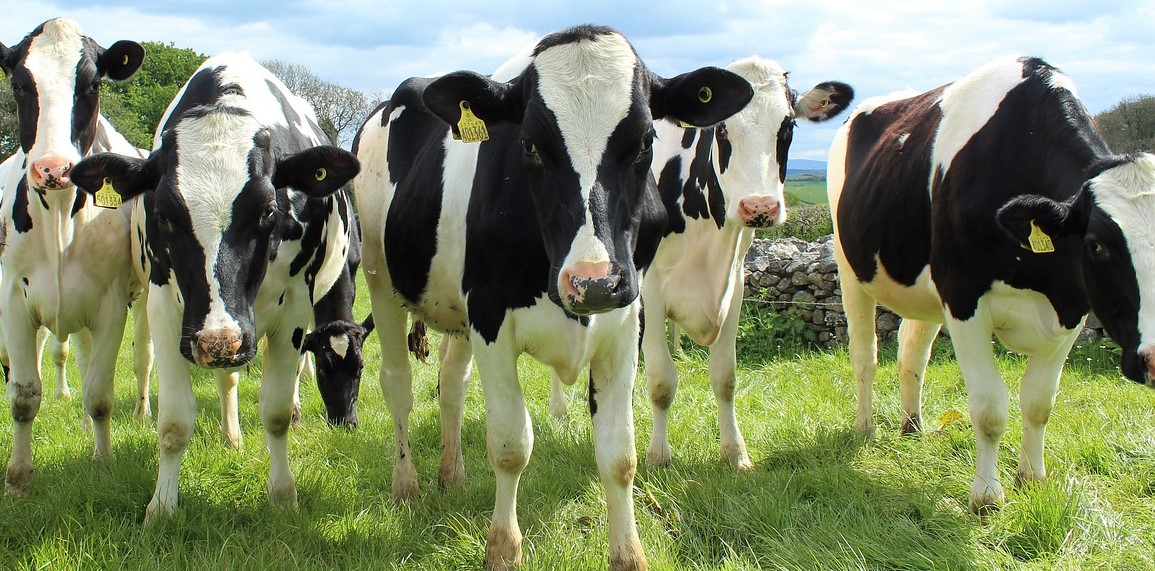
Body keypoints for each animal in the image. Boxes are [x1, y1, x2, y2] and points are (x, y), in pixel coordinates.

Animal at [0, 18, 152, 496]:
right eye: (19, 84)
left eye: (91, 84)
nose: (53, 168)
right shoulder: (12, 299)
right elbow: (24, 394)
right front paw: (18, 478)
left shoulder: (111, 304)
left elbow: (101, 392)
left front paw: (103, 460)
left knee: (141, 358)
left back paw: (138, 411)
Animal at [70, 52, 360, 522]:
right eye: (164, 214)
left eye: (267, 210)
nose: (218, 340)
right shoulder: (168, 309)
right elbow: (174, 420)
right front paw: (162, 507)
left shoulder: (295, 309)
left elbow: (276, 410)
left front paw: (283, 496)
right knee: (227, 378)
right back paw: (230, 434)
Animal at [354, 25, 753, 571]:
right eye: (529, 145)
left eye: (645, 141)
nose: (593, 281)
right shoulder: (490, 317)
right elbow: (510, 444)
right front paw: (503, 549)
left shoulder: (627, 319)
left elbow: (619, 454)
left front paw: (629, 554)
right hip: (380, 278)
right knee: (398, 384)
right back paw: (406, 485)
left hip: (454, 309)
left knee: (451, 384)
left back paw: (452, 475)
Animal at [547, 56, 853, 470]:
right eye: (722, 129)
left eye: (788, 125)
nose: (759, 206)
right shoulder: (650, 289)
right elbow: (661, 381)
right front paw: (657, 455)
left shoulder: (735, 285)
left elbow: (725, 377)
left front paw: (735, 452)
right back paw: (559, 410)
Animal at [828, 55, 1155, 513]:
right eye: (1096, 245)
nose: (1154, 358)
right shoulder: (964, 297)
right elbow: (989, 409)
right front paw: (986, 496)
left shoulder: (1072, 309)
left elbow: (1039, 402)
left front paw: (1032, 478)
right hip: (850, 269)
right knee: (865, 356)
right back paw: (866, 427)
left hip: (925, 287)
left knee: (912, 353)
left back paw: (912, 426)